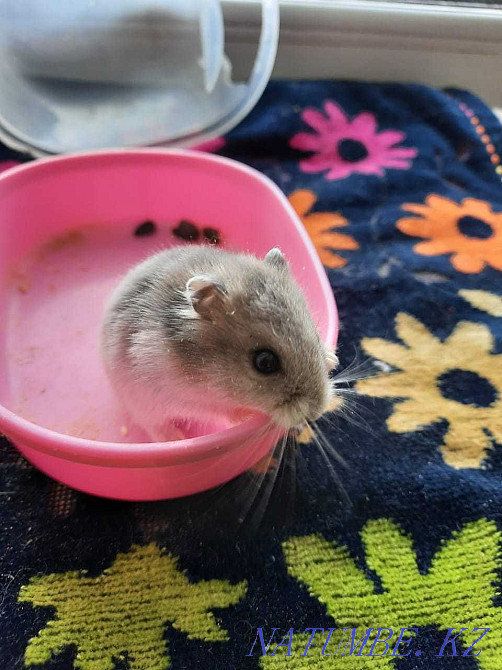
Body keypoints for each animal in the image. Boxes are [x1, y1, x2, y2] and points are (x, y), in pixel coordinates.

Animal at [101, 245, 338, 441]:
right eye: (265, 362)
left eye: (316, 336)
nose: (317, 411)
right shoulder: (189, 398)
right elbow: (223, 410)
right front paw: (248, 415)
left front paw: (332, 358)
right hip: (138, 400)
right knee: (152, 424)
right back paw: (174, 438)